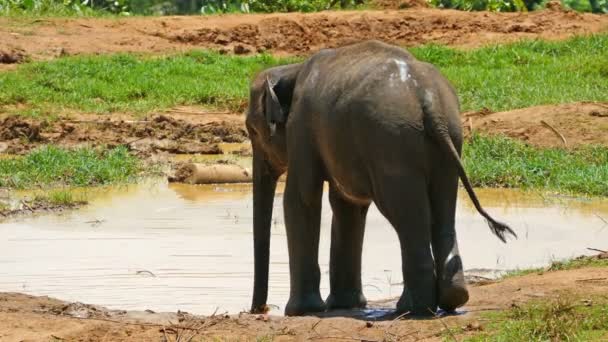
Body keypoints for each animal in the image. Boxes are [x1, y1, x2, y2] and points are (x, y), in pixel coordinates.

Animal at [245, 40, 516, 318]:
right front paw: (345, 306)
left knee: (407, 217)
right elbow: (348, 206)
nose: (259, 309)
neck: (292, 69)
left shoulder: (301, 128)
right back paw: (452, 299)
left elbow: (301, 199)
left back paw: (411, 308)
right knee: (442, 210)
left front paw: (299, 312)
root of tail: (428, 101)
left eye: (252, 131)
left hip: (392, 143)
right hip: (449, 139)